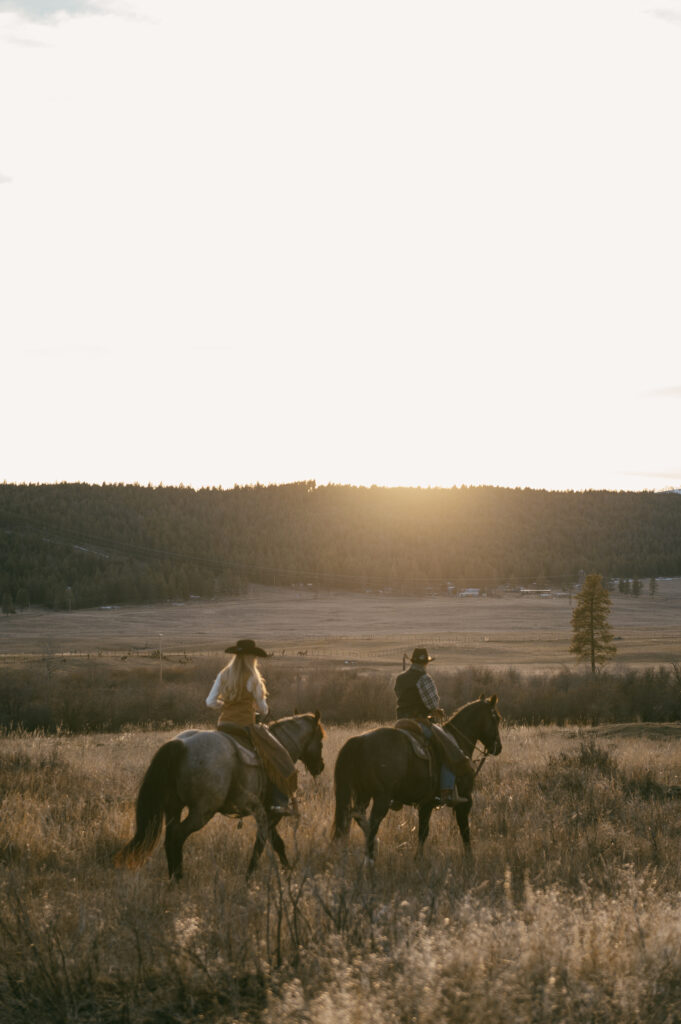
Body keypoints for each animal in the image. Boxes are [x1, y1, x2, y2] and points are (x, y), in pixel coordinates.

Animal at [114, 712, 323, 880]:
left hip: (174, 808)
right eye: (320, 738)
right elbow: (265, 844)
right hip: (202, 813)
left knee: (169, 837)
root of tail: (180, 745)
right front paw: (251, 877)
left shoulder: (263, 813)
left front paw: (286, 871)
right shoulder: (270, 814)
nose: (320, 766)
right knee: (177, 836)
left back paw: (173, 877)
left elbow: (275, 843)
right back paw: (178, 878)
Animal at [331, 692, 501, 860]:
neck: (458, 741)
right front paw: (470, 858)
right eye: (496, 718)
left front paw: (418, 859)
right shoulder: (465, 799)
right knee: (373, 823)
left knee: (357, 815)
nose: (498, 747)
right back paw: (371, 856)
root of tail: (359, 740)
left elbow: (423, 832)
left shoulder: (426, 804)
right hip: (381, 798)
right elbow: (464, 828)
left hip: (363, 794)